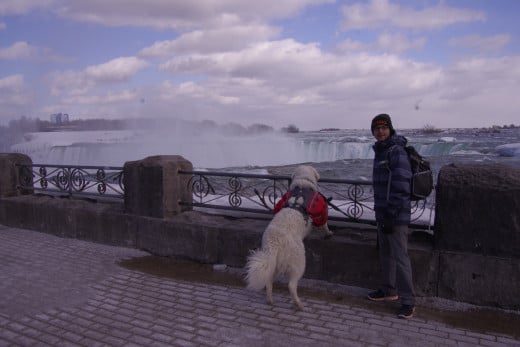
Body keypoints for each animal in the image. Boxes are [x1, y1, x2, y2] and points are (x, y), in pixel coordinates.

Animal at [245, 166, 334, 310]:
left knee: (269, 281)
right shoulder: (321, 211)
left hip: (274, 263)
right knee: (291, 286)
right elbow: (324, 223)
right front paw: (329, 233)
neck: (303, 182)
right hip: (299, 262)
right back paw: (299, 304)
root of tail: (274, 243)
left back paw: (270, 300)